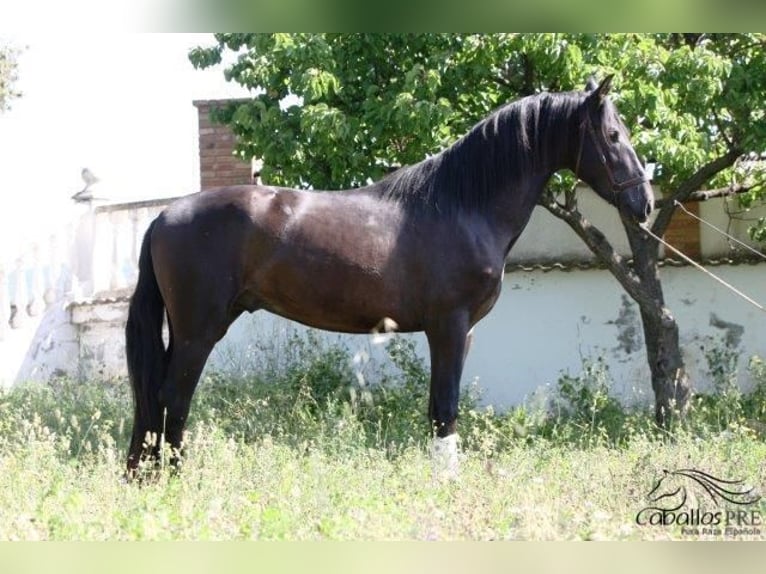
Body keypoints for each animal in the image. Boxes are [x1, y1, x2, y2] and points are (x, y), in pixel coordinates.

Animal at [126, 75, 656, 472]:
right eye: (613, 136)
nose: (645, 203)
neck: (462, 204)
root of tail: (163, 216)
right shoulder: (449, 325)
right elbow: (446, 408)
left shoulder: (458, 333)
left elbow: (437, 410)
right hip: (198, 330)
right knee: (172, 396)